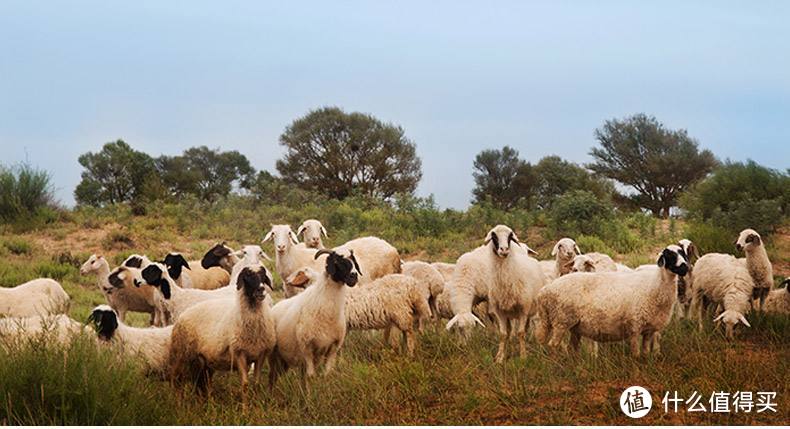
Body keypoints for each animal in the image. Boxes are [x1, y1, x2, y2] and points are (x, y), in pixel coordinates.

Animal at [169, 264, 276, 398]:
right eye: (248, 276)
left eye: (263, 276)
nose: (261, 290)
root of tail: (183, 314)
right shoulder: (239, 353)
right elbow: (245, 385)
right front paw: (245, 404)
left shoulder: (260, 354)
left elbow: (256, 383)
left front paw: (256, 403)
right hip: (181, 356)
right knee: (177, 381)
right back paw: (177, 400)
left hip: (202, 361)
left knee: (202, 384)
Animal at [270, 247, 362, 384]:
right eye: (337, 260)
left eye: (353, 259)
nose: (354, 276)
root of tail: (276, 306)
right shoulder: (307, 348)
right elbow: (311, 376)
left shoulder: (333, 348)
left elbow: (327, 373)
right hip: (275, 355)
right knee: (272, 376)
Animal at [532, 242, 692, 356]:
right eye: (669, 255)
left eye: (682, 253)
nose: (684, 267)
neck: (655, 285)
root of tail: (544, 291)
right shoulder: (634, 326)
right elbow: (636, 353)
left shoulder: (648, 329)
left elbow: (645, 352)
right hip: (561, 321)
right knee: (553, 345)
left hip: (574, 326)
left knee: (573, 347)